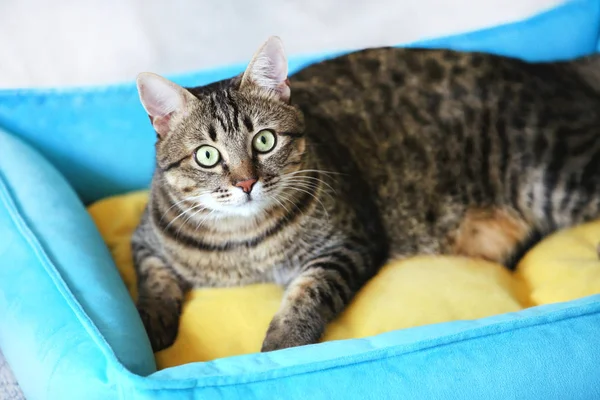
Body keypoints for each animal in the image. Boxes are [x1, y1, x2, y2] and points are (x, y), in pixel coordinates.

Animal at [132, 36, 600, 352]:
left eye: (264, 141)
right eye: (207, 155)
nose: (246, 183)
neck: (245, 247)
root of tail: (550, 69)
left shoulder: (350, 243)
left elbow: (308, 293)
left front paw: (283, 343)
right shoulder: (145, 239)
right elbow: (153, 279)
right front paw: (150, 323)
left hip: (559, 174)